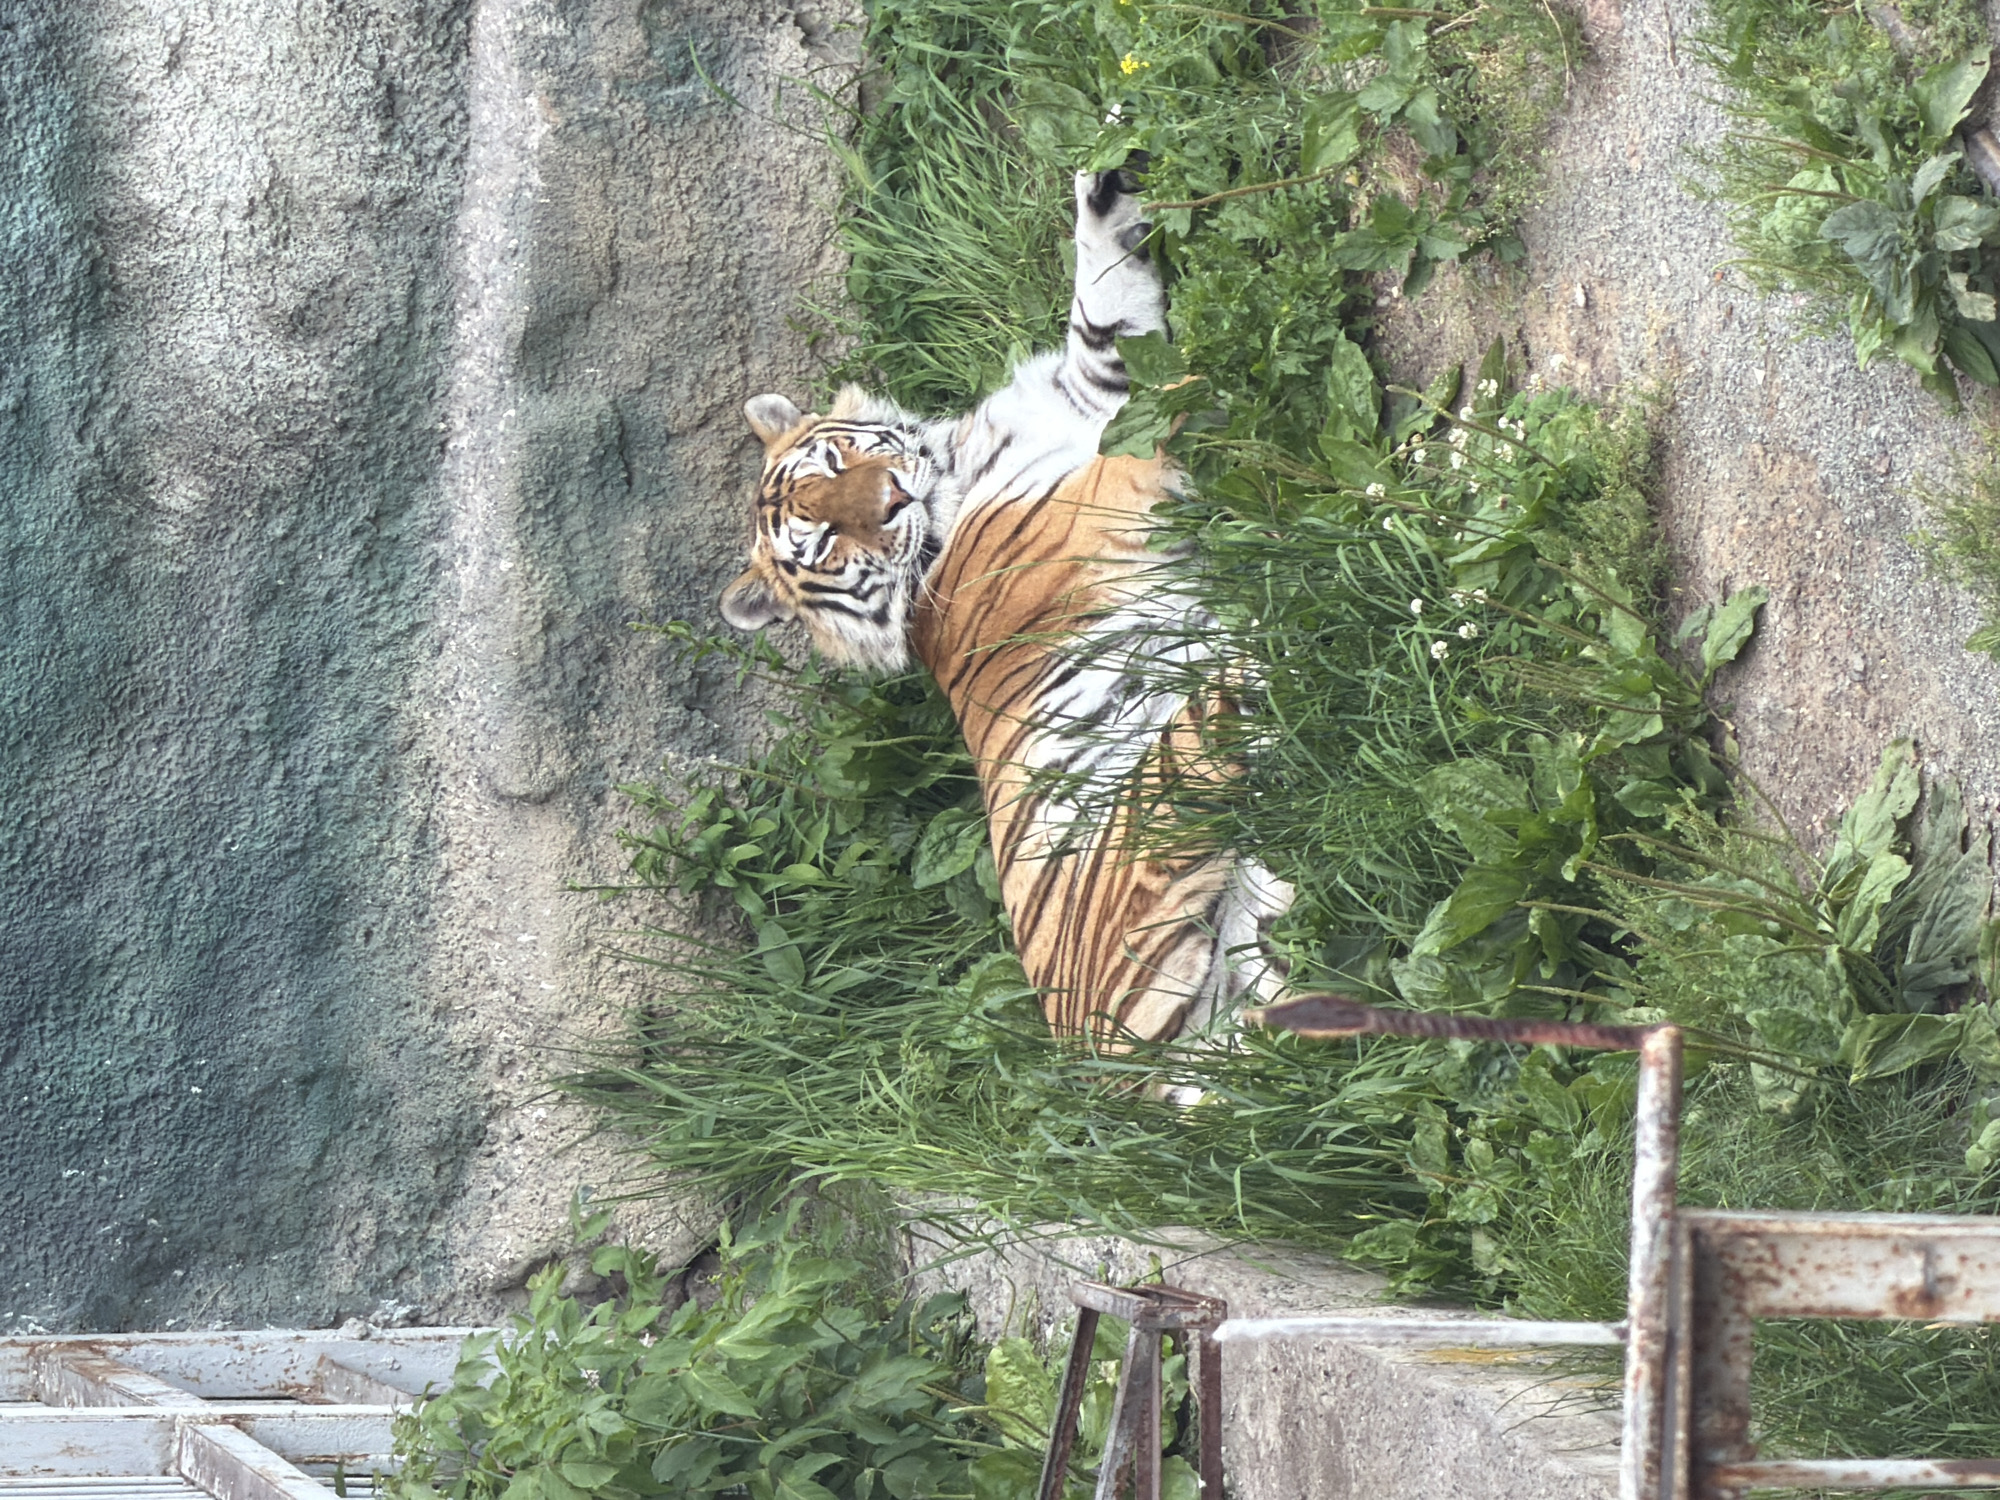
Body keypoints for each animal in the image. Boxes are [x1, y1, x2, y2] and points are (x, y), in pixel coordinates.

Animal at [718, 167, 1292, 1046]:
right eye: (822, 539)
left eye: (836, 461)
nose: (892, 498)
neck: (954, 461)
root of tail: (1107, 1059)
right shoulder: (1107, 480)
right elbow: (1155, 403)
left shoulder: (1093, 383)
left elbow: (1102, 304)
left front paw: (1106, 194)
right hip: (1158, 802)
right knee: (1243, 722)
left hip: (1263, 932)